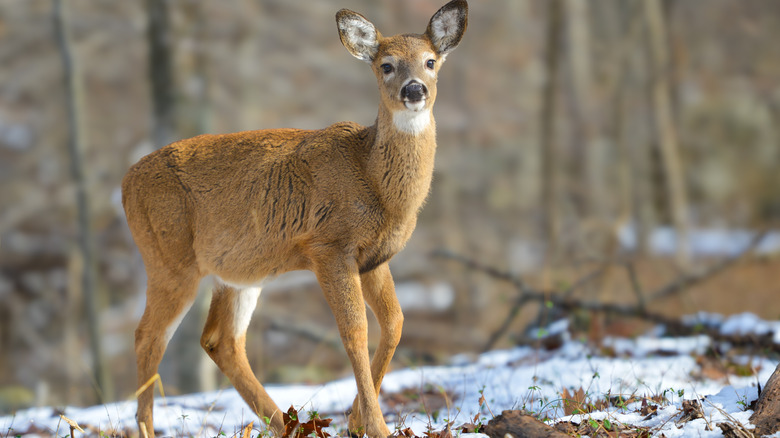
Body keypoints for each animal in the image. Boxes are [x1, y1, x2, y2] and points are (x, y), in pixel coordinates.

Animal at [121, 1, 467, 436]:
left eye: (430, 61)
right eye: (386, 65)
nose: (415, 89)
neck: (374, 180)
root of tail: (125, 182)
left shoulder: (374, 257)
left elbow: (395, 323)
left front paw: (357, 420)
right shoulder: (328, 245)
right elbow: (355, 331)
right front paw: (376, 426)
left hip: (237, 272)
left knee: (220, 340)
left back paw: (286, 424)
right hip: (169, 257)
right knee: (148, 336)